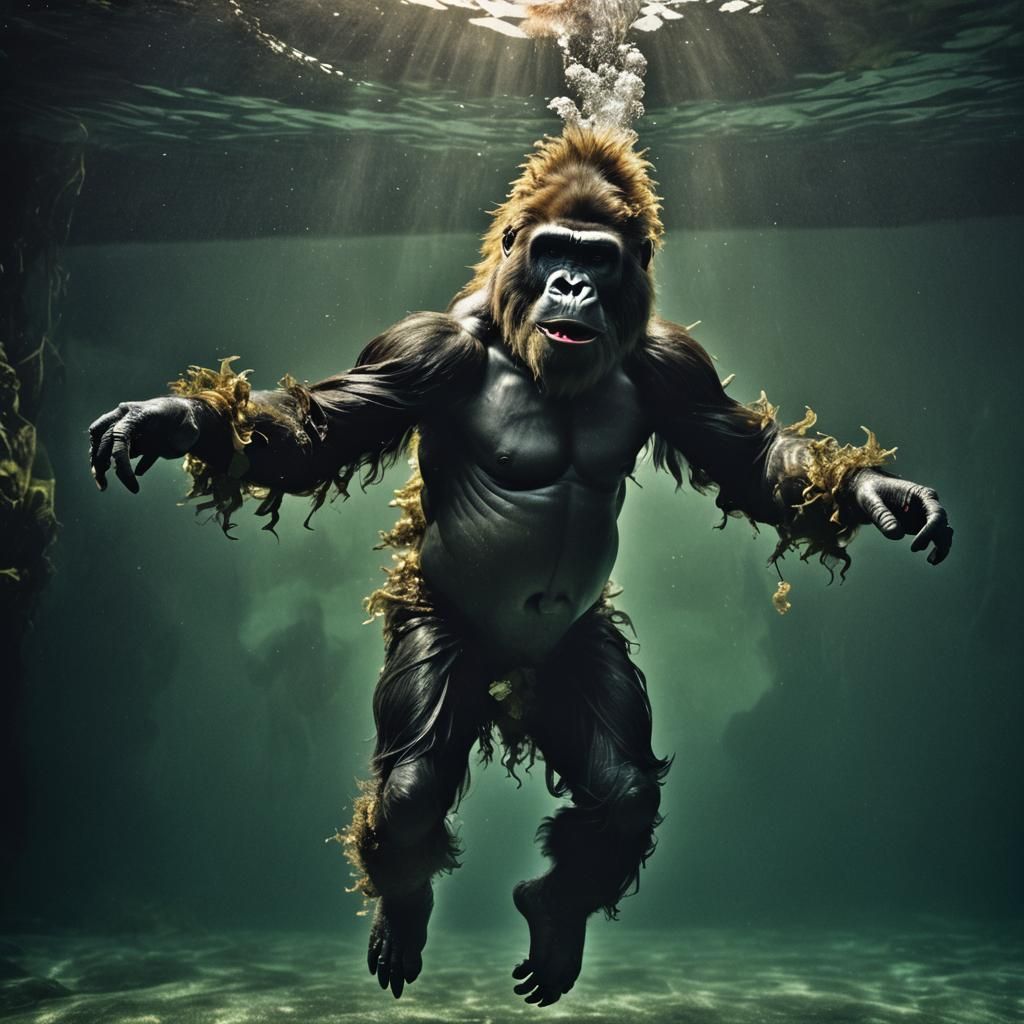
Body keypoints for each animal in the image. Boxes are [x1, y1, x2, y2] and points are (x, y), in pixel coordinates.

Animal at [87, 126, 953, 1007]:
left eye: (598, 256)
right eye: (552, 250)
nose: (572, 283)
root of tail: (508, 678)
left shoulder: (677, 363)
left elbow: (749, 461)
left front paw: (876, 491)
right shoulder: (420, 351)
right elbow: (318, 432)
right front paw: (182, 420)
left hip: (571, 657)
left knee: (624, 790)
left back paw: (556, 912)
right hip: (438, 629)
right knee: (410, 792)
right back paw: (403, 911)